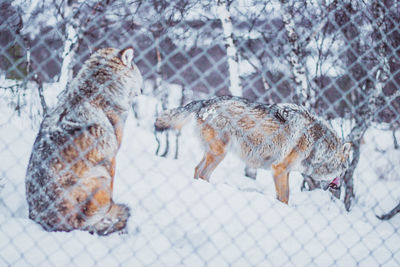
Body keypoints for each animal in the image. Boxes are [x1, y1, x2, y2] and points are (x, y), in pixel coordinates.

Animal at [155, 97, 350, 205]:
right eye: (345, 170)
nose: (340, 187)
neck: (318, 144)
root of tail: (205, 101)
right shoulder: (279, 169)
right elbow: (285, 197)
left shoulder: (284, 171)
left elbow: (283, 195)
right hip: (219, 153)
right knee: (201, 172)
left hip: (216, 154)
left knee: (198, 171)